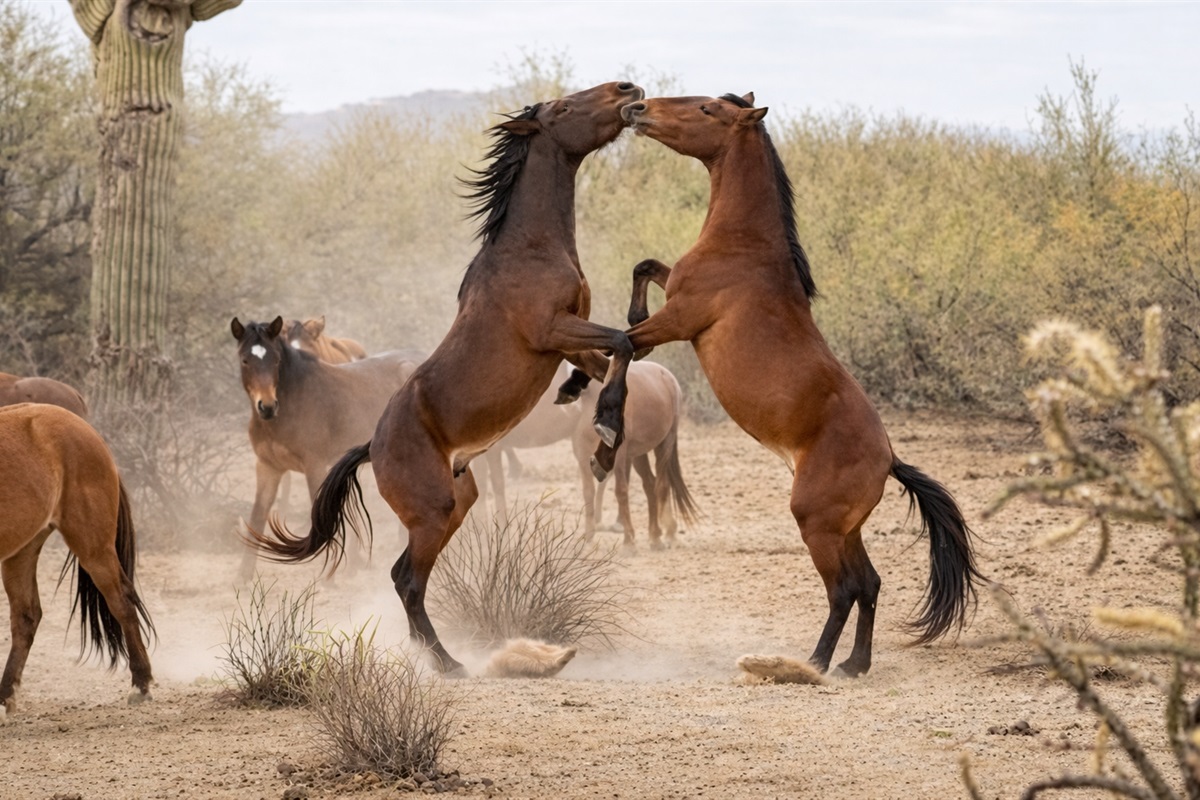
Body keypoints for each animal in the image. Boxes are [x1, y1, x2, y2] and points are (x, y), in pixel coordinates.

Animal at [0, 403, 153, 718]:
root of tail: (90, 432)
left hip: (93, 547)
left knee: (122, 601)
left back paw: (141, 685)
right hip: (21, 550)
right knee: (26, 617)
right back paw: (4, 697)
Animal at [231, 316, 423, 578]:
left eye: (276, 360)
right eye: (245, 360)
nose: (267, 406)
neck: (292, 403)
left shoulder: (315, 466)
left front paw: (328, 577)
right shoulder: (268, 467)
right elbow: (258, 515)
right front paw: (243, 576)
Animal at [572, 360, 698, 550]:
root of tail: (668, 376)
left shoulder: (619, 458)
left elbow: (621, 491)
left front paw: (629, 541)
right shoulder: (584, 457)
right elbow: (588, 493)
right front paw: (588, 538)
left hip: (664, 444)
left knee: (661, 484)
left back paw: (668, 535)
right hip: (639, 454)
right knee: (650, 484)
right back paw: (655, 537)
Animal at [599, 92, 982, 677]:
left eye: (707, 108)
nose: (637, 108)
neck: (745, 245)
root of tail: (889, 458)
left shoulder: (682, 319)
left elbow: (622, 343)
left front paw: (605, 429)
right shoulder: (674, 293)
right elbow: (643, 270)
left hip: (815, 524)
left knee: (844, 589)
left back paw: (815, 664)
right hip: (845, 528)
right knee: (870, 583)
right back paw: (854, 665)